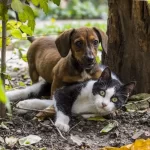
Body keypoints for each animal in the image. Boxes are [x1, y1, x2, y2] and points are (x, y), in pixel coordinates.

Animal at [5, 67, 135, 131]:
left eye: (114, 99)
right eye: (102, 92)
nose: (104, 104)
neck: (91, 102)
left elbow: (47, 103)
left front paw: (24, 106)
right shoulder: (64, 91)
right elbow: (63, 105)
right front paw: (62, 124)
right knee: (30, 90)